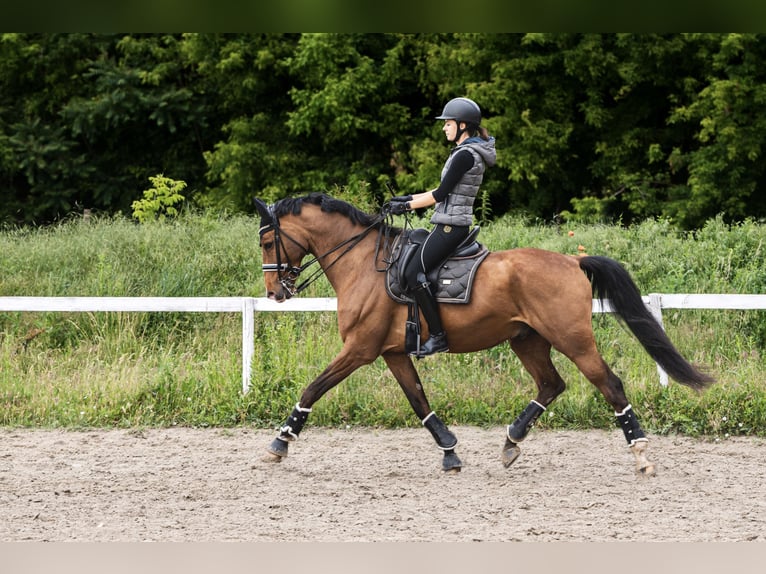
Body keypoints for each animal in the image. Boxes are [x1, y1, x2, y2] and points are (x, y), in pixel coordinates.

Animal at [252, 194, 712, 476]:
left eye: (269, 241)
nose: (275, 292)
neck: (364, 263)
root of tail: (572, 261)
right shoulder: (392, 352)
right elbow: (419, 402)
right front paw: (450, 451)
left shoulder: (360, 349)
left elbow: (313, 388)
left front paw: (280, 442)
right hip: (527, 339)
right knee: (551, 384)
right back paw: (511, 441)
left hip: (573, 339)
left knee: (609, 384)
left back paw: (641, 455)